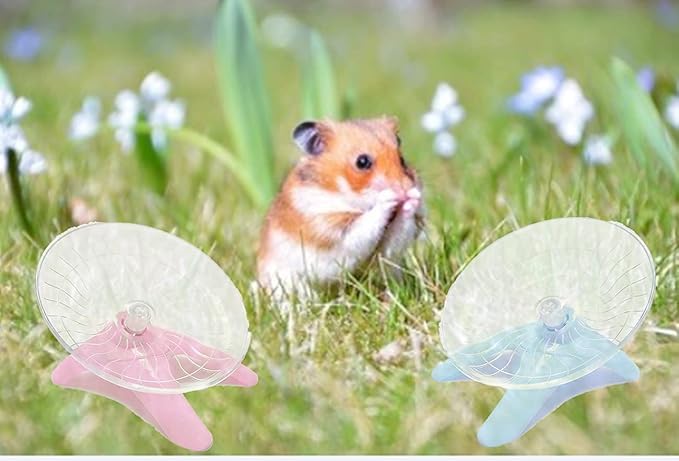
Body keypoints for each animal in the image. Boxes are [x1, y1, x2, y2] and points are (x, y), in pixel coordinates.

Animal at [257, 116, 424, 298]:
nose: (405, 190)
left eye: (401, 159)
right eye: (362, 162)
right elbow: (365, 225)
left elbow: (395, 236)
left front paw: (413, 197)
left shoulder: (385, 251)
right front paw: (388, 198)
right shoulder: (331, 230)